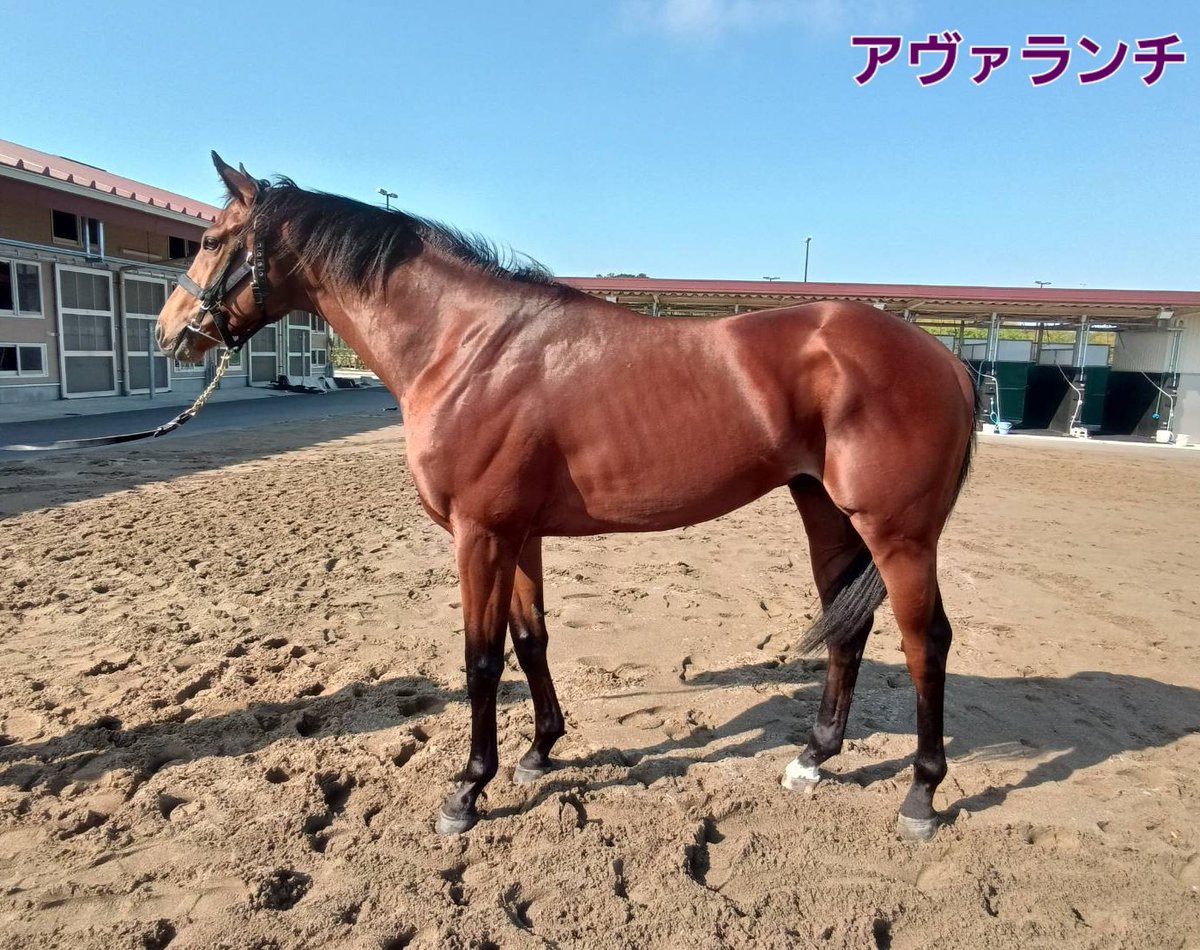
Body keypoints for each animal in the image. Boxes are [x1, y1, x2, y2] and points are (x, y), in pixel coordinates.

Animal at [156, 153, 978, 842]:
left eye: (209, 240)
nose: (170, 334)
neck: (466, 346)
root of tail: (946, 358)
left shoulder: (480, 534)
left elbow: (481, 661)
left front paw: (468, 789)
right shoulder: (519, 534)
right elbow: (531, 640)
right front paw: (540, 750)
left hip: (898, 534)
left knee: (925, 641)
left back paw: (920, 795)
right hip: (827, 514)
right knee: (848, 629)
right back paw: (813, 758)